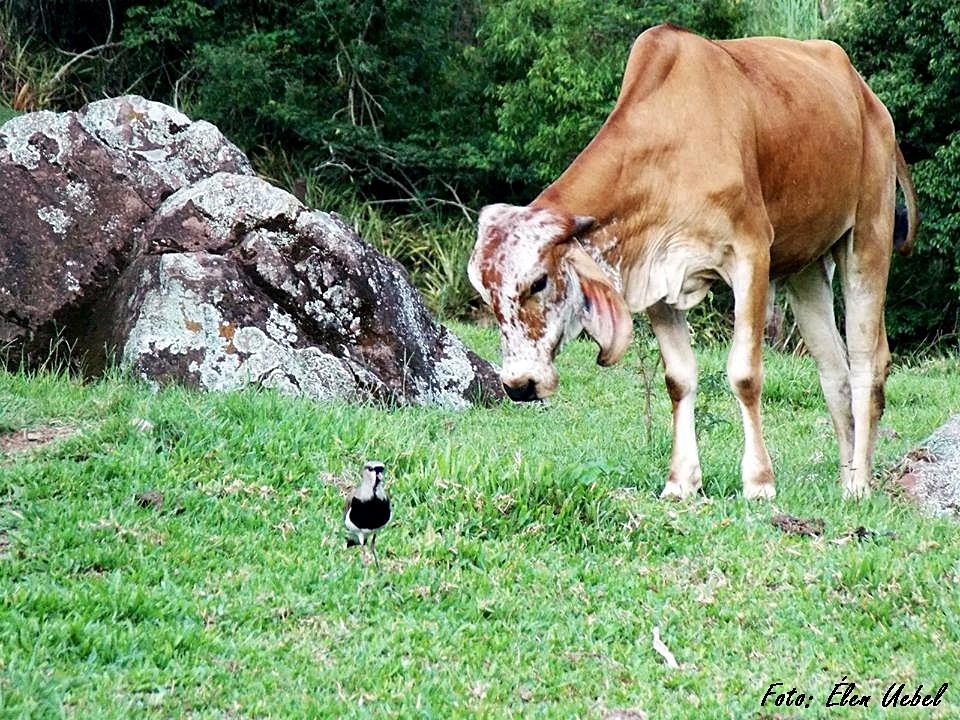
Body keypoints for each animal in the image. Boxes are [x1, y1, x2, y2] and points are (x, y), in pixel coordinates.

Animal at [468, 23, 920, 500]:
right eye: (486, 295)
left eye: (538, 282)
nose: (520, 385)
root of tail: (869, 99)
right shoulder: (655, 278)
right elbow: (679, 379)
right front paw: (681, 481)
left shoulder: (750, 255)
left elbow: (744, 374)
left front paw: (759, 482)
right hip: (806, 268)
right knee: (833, 369)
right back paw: (846, 477)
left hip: (868, 237)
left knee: (867, 363)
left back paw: (861, 483)